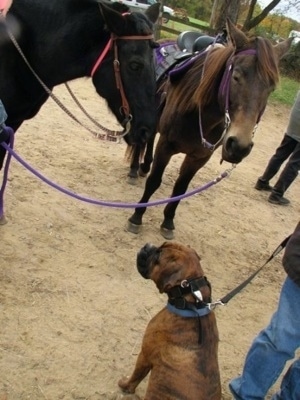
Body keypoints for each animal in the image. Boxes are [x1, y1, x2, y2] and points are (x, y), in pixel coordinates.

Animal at [118, 242, 221, 398]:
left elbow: (135, 377)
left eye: (158, 255)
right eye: (160, 246)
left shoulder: (145, 355)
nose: (148, 245)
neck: (192, 305)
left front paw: (125, 386)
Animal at [127, 20, 292, 239]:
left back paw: (144, 166)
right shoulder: (167, 146)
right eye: (236, 76)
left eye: (271, 88)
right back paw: (134, 169)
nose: (239, 146)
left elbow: (180, 189)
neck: (202, 115)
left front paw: (168, 222)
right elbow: (155, 181)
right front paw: (137, 216)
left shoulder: (199, 157)